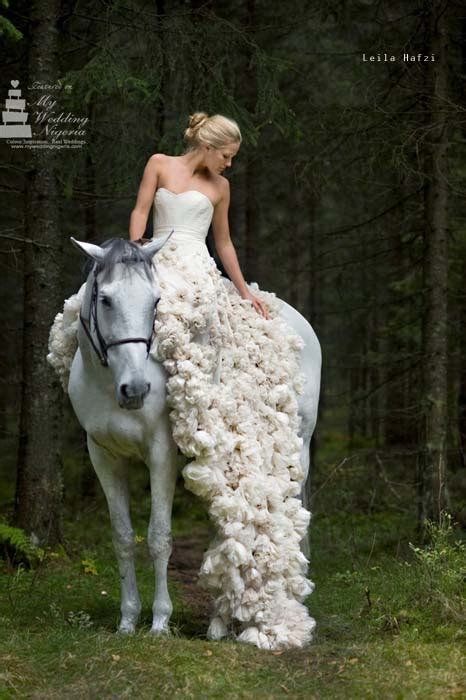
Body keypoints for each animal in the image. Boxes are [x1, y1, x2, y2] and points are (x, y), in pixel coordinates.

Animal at [67, 238, 320, 636]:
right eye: (105, 299)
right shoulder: (103, 455)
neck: (109, 383)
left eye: (156, 301)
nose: (136, 389)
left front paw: (159, 622)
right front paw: (127, 620)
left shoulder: (161, 453)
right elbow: (122, 537)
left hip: (299, 449)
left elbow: (159, 537)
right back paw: (223, 618)